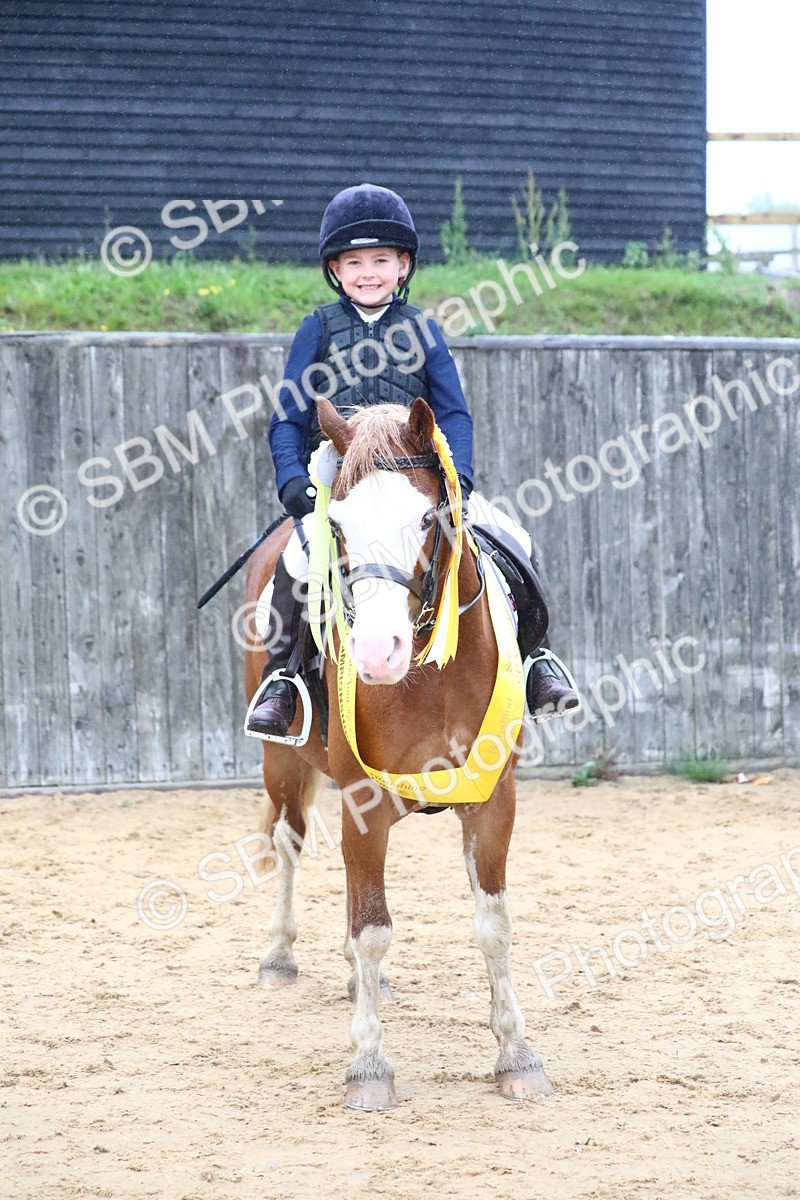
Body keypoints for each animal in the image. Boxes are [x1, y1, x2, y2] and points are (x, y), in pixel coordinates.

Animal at [243, 395, 554, 1110]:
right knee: (288, 843)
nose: (375, 654)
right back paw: (279, 956)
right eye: (337, 523)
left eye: (427, 517)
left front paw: (516, 1055)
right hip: (283, 762)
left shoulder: (494, 797)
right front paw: (368, 1067)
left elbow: (493, 924)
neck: (427, 675)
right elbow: (372, 927)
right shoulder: (364, 805)